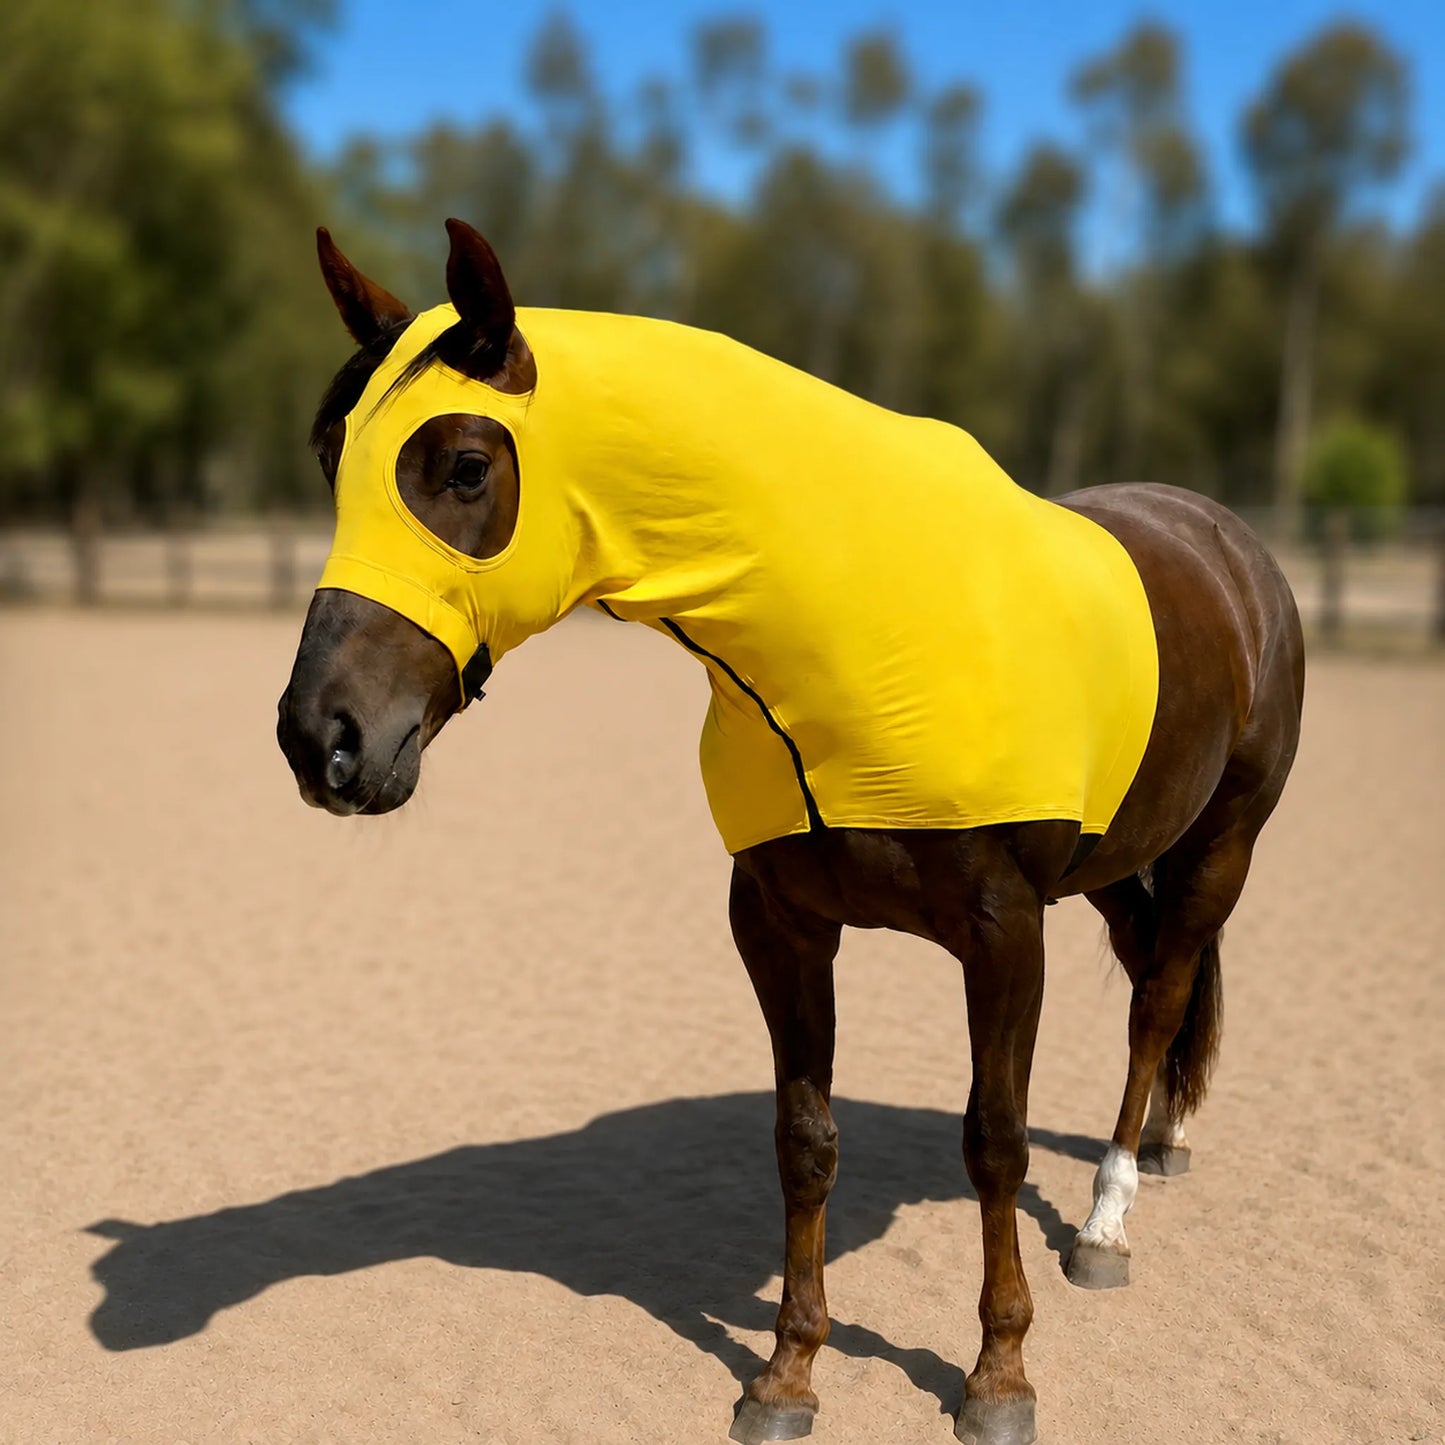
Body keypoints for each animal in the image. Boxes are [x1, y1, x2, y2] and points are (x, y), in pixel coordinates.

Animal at [276, 219, 1305, 1445]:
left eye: (464, 466)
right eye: (330, 461)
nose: (321, 738)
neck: (850, 625)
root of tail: (1232, 547)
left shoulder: (1005, 931)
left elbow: (994, 1140)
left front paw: (997, 1375)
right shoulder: (781, 924)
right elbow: (804, 1141)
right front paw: (787, 1373)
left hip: (1221, 845)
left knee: (1157, 1001)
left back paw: (1107, 1220)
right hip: (1115, 858)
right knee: (1153, 973)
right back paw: (1158, 1146)